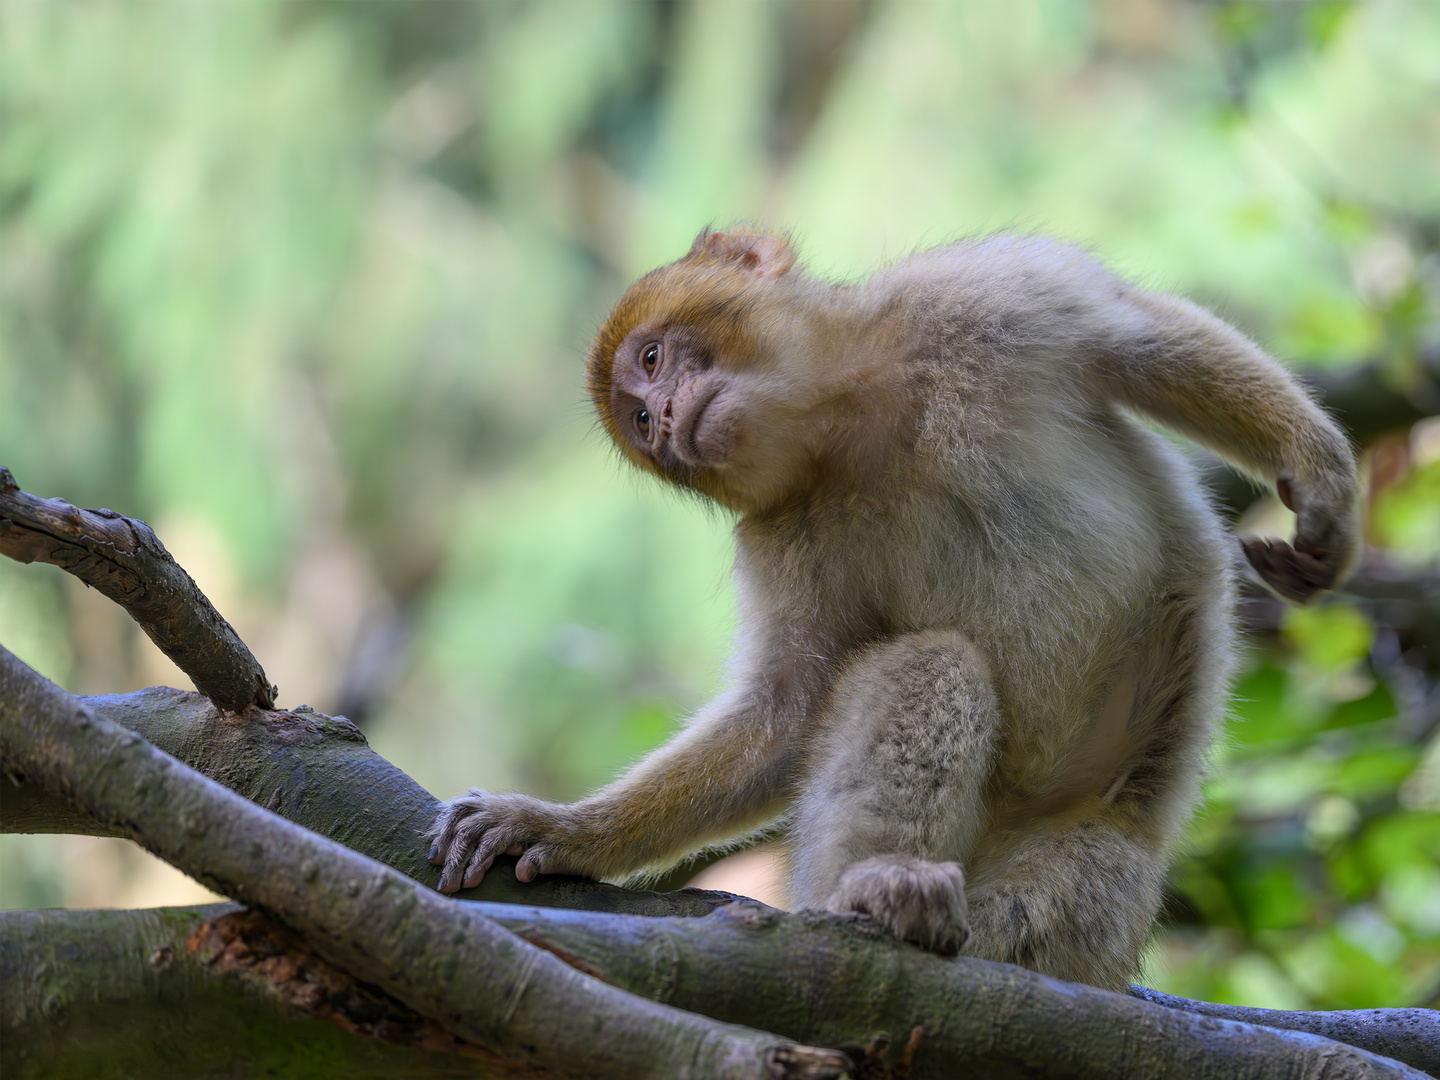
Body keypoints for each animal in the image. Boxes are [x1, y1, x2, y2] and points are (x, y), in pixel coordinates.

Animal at [426, 226, 1359, 990]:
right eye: (641, 423)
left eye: (650, 362)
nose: (659, 417)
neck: (857, 419)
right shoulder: (782, 539)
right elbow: (788, 710)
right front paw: (567, 830)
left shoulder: (978, 299)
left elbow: (1147, 343)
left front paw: (1323, 486)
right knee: (932, 665)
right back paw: (878, 899)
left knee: (1103, 867)